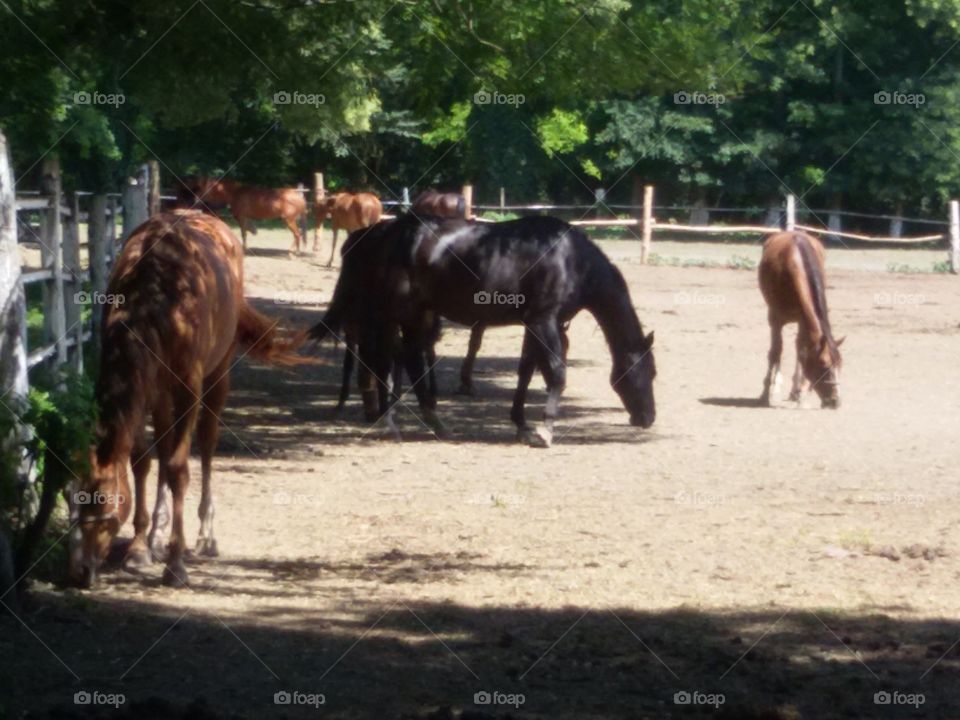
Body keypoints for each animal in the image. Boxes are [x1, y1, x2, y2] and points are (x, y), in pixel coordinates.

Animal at [73, 211, 310, 588]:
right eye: (77, 500)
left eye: (106, 500)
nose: (81, 571)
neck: (158, 297)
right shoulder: (146, 386)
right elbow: (143, 460)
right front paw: (140, 547)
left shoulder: (188, 387)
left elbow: (178, 468)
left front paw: (175, 563)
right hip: (163, 392)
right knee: (165, 443)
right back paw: (156, 534)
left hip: (217, 377)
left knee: (208, 444)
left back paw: (205, 535)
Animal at [312, 212, 656, 444]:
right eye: (648, 372)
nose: (648, 417)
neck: (569, 259)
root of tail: (380, 233)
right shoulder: (544, 321)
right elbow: (556, 372)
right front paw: (545, 430)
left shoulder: (536, 324)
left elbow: (526, 370)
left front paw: (521, 424)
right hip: (394, 315)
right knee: (388, 360)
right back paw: (394, 424)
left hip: (412, 315)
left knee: (403, 358)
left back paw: (433, 422)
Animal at [760, 233, 844, 408]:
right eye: (824, 365)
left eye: (840, 365)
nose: (836, 401)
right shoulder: (775, 320)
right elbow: (775, 352)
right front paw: (765, 393)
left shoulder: (804, 320)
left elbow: (802, 351)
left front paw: (800, 392)